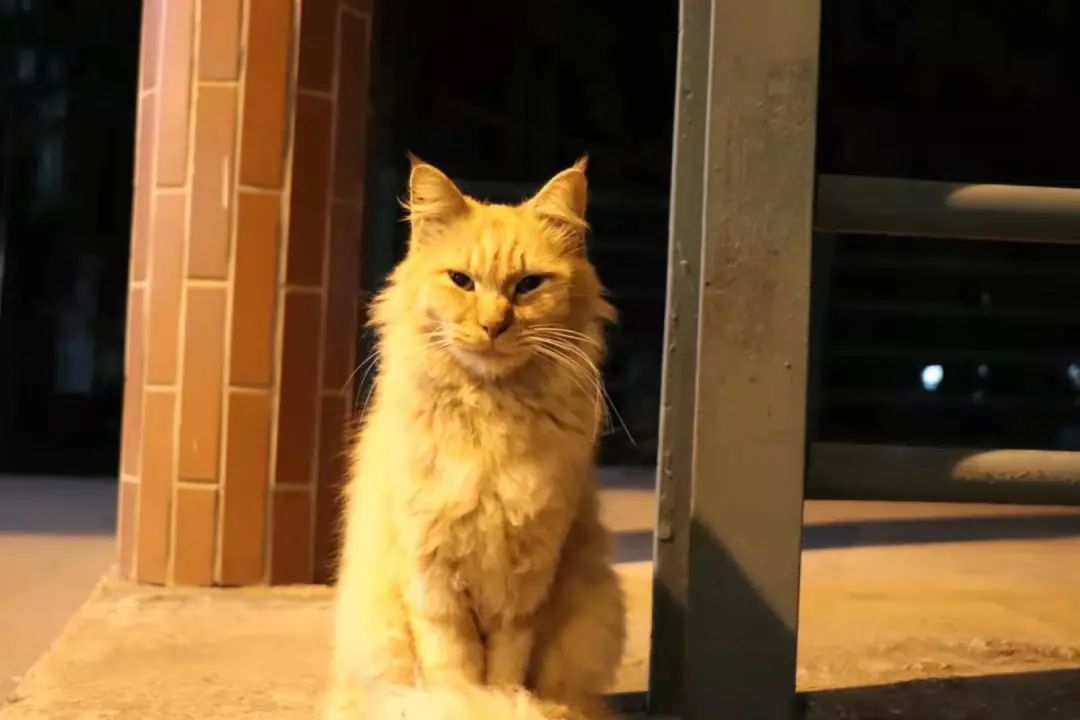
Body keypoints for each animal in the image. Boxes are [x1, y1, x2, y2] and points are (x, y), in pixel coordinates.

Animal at [323, 157, 626, 720]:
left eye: (529, 285)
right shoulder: (432, 577)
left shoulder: (526, 584)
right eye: (461, 281)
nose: (493, 325)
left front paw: (498, 704)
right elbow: (453, 669)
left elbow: (503, 672)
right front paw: (463, 704)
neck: (490, 415)